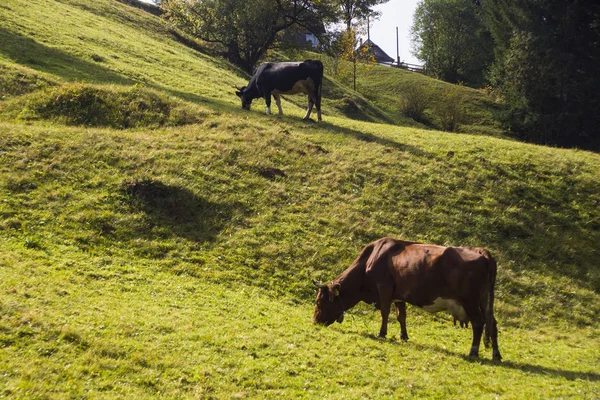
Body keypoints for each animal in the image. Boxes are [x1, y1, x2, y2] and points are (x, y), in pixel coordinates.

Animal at [314, 236, 502, 360]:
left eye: (319, 302)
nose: (314, 321)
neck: (370, 260)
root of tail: (481, 251)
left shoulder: (384, 288)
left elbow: (385, 312)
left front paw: (382, 333)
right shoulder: (399, 296)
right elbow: (401, 316)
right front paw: (403, 336)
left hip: (470, 301)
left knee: (478, 323)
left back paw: (473, 351)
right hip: (485, 300)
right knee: (492, 323)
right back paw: (496, 354)